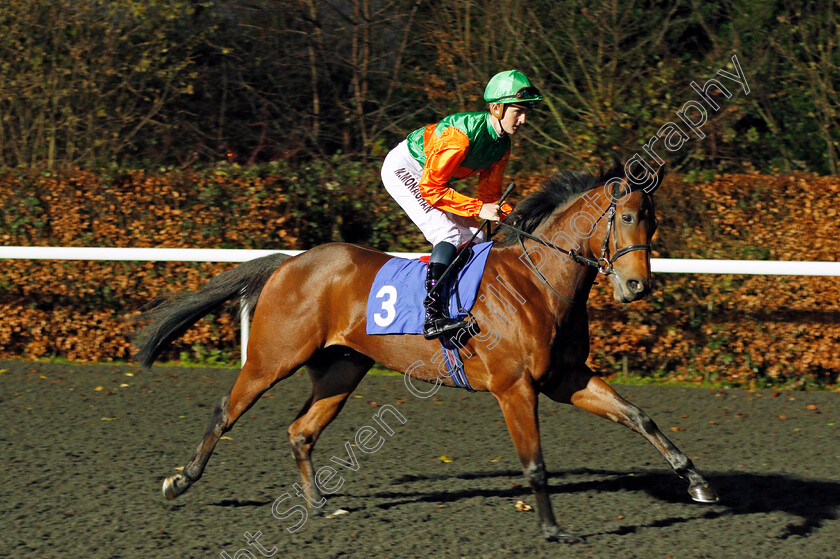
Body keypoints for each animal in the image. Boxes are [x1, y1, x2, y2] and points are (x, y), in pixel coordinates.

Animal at [136, 160, 716, 544]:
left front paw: (696, 481)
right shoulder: (514, 388)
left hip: (343, 369)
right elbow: (534, 463)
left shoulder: (565, 378)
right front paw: (553, 529)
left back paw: (320, 505)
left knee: (301, 431)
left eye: (654, 220)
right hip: (272, 357)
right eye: (626, 218)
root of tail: (290, 262)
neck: (538, 282)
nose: (637, 287)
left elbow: (639, 416)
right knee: (225, 411)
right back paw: (179, 481)